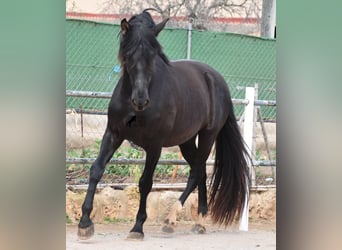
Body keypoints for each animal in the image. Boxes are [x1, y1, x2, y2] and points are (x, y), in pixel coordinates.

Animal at [77, 10, 250, 240]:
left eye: (153, 56)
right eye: (128, 55)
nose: (140, 100)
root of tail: (216, 79)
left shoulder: (154, 145)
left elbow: (145, 182)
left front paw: (137, 227)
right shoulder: (113, 134)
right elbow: (96, 169)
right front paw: (85, 224)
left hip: (208, 136)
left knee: (196, 172)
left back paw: (173, 219)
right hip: (186, 141)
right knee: (200, 171)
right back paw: (197, 222)